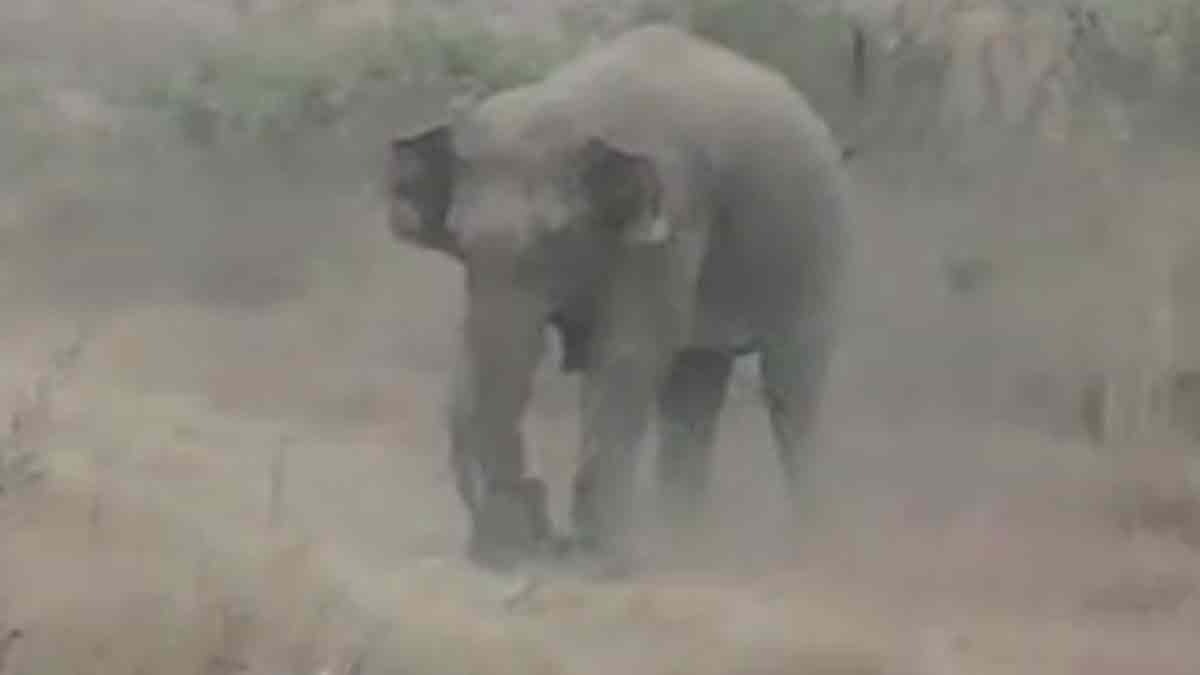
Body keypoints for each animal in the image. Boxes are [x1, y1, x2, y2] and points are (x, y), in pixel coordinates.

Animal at [384, 24, 852, 574]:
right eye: (458, 240)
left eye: (555, 237)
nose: (544, 536)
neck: (566, 105)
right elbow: (478, 355)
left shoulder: (672, 216)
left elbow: (626, 354)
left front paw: (596, 562)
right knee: (694, 385)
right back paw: (685, 540)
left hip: (816, 245)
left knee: (790, 386)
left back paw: (800, 545)